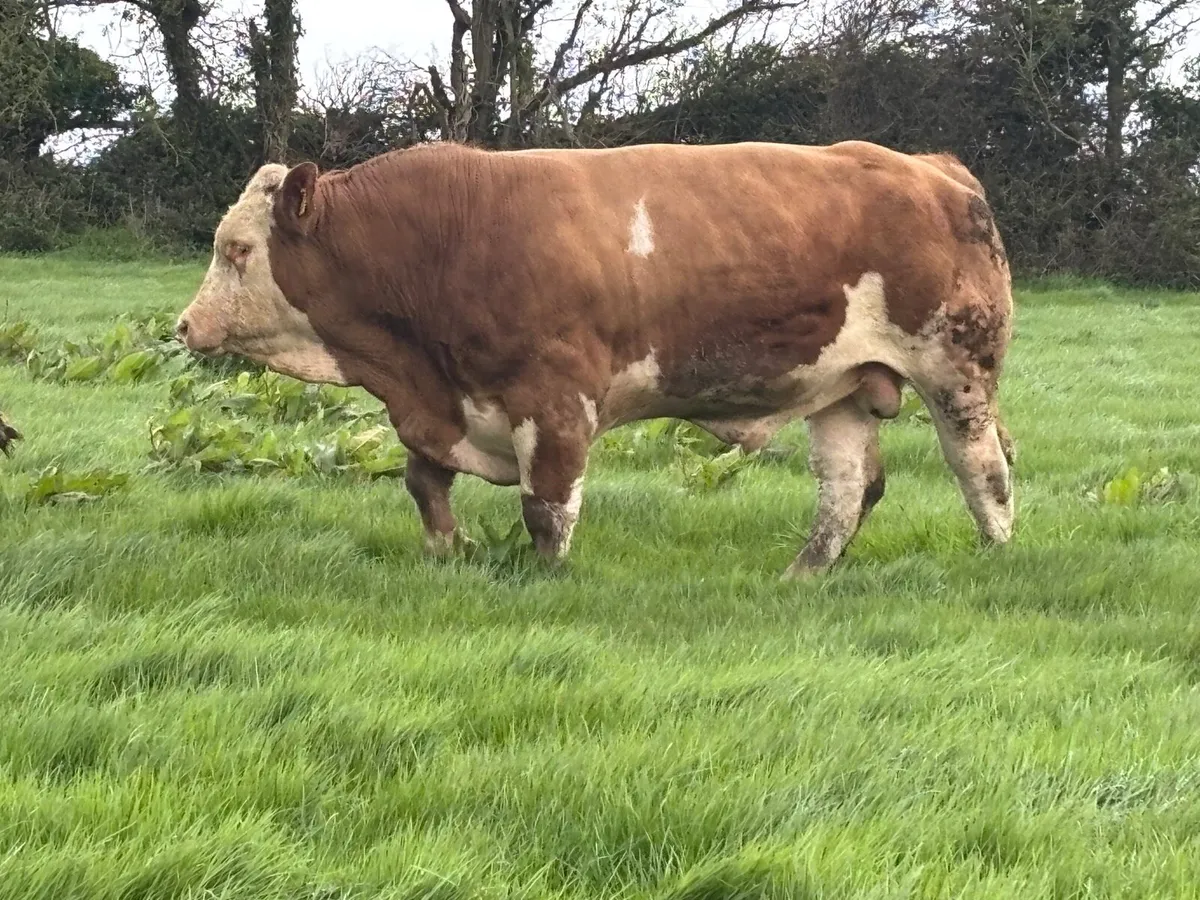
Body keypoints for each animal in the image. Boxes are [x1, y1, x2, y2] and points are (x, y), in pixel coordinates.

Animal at [175, 139, 1015, 579]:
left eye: (237, 249)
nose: (186, 325)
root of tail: (933, 167)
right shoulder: (444, 401)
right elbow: (423, 482)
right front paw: (450, 549)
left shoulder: (553, 401)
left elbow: (547, 507)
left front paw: (548, 577)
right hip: (841, 387)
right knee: (849, 489)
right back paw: (803, 573)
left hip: (955, 370)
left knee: (985, 469)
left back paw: (995, 558)